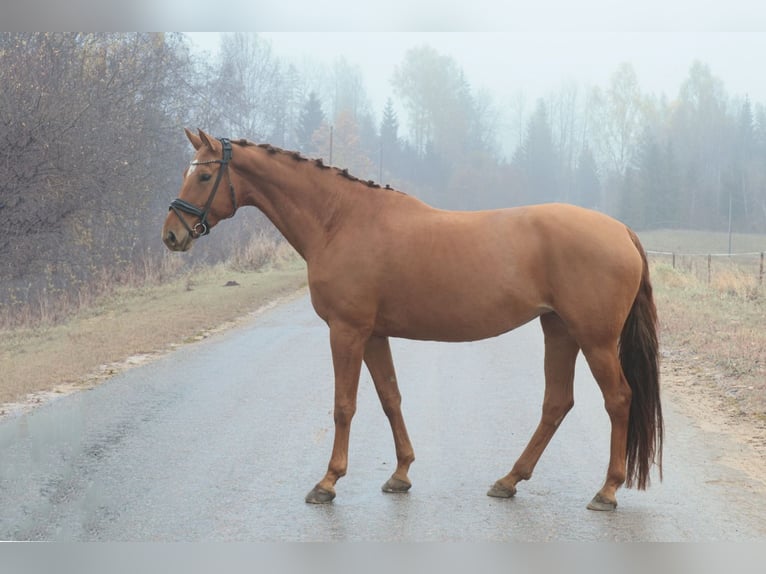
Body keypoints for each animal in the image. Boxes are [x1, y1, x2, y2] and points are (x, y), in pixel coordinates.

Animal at [162, 129, 663, 511]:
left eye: (204, 174)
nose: (171, 235)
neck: (340, 220)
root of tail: (621, 230)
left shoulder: (346, 331)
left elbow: (344, 405)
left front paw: (328, 482)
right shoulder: (373, 335)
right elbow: (390, 399)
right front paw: (400, 474)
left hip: (595, 339)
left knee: (618, 399)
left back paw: (606, 491)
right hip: (558, 330)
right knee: (557, 404)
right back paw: (508, 480)